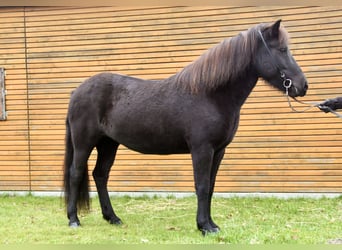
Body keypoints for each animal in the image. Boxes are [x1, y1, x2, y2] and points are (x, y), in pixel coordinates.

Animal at [63, 20, 308, 234]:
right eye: (283, 49)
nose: (303, 86)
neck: (210, 95)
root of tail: (77, 91)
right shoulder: (202, 149)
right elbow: (201, 186)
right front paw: (204, 227)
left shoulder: (218, 151)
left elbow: (210, 187)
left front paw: (212, 224)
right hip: (85, 143)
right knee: (76, 173)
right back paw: (73, 220)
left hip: (108, 144)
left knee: (100, 175)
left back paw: (112, 218)